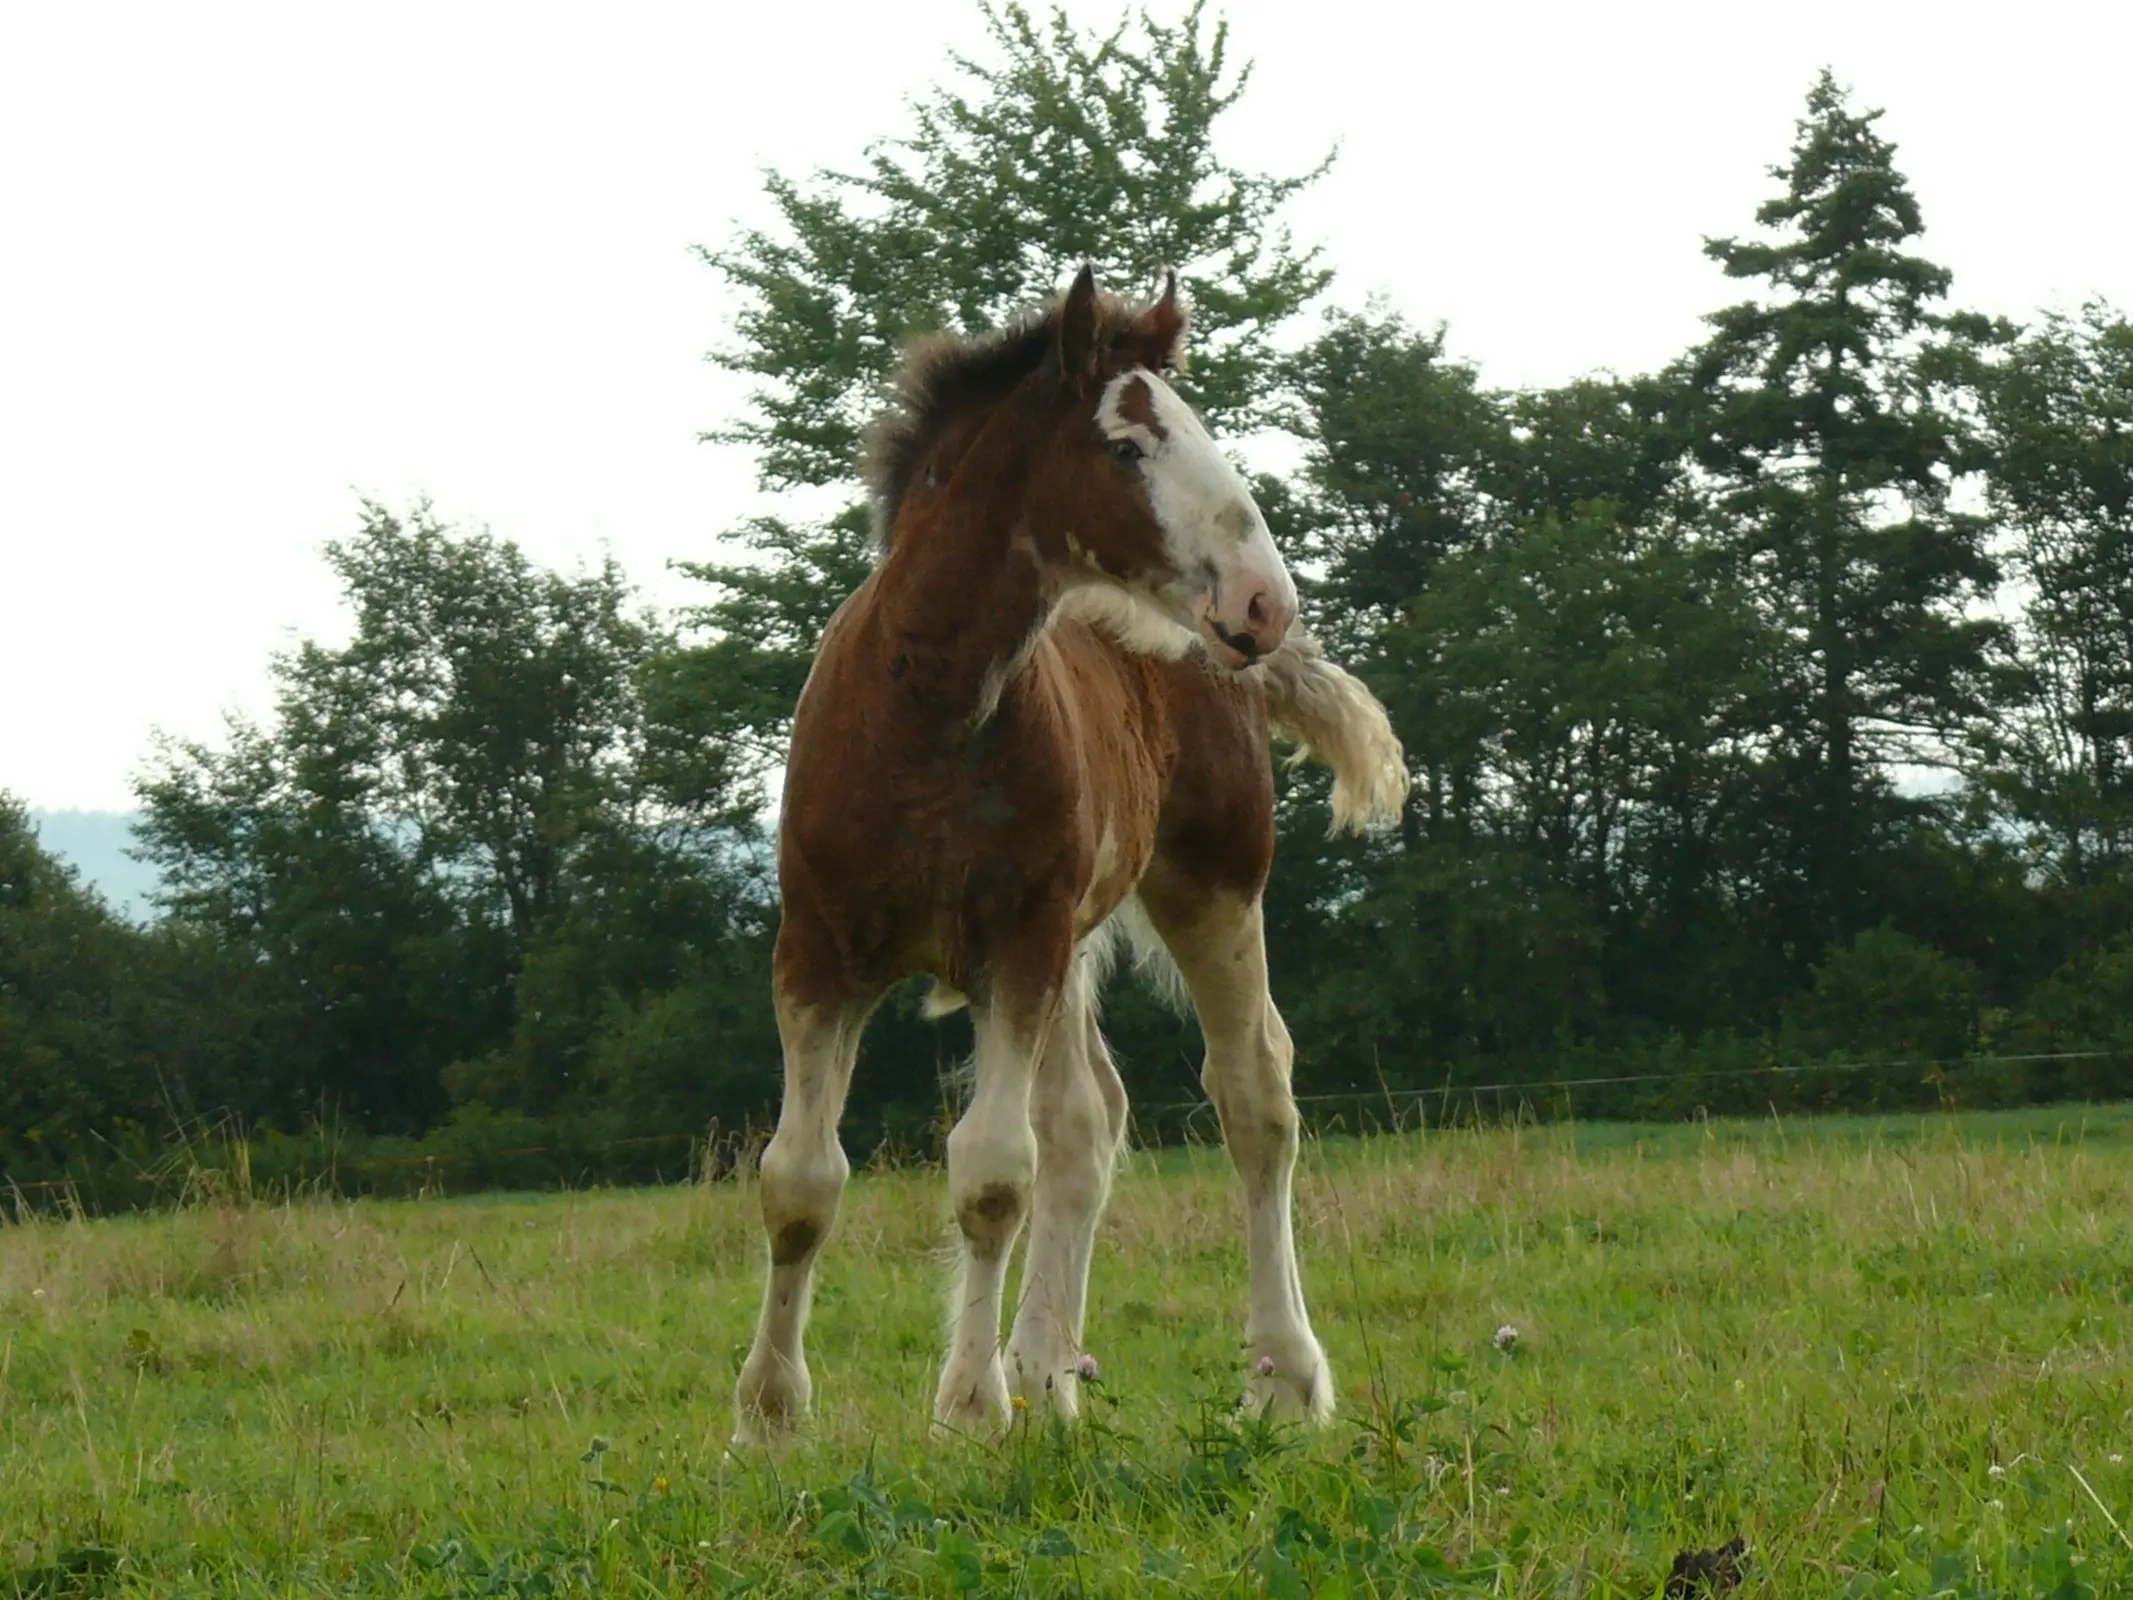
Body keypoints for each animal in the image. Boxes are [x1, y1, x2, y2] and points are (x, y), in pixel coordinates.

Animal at [738, 263, 1416, 1442]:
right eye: (1129, 448)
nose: (1262, 599)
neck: (923, 713)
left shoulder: (1019, 942)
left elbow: (990, 1174)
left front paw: (969, 1407)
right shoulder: (821, 949)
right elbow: (800, 1180)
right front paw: (769, 1419)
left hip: (1207, 885)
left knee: (1252, 1094)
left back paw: (1279, 1376)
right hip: (1068, 947)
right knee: (1086, 1122)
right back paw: (1047, 1369)